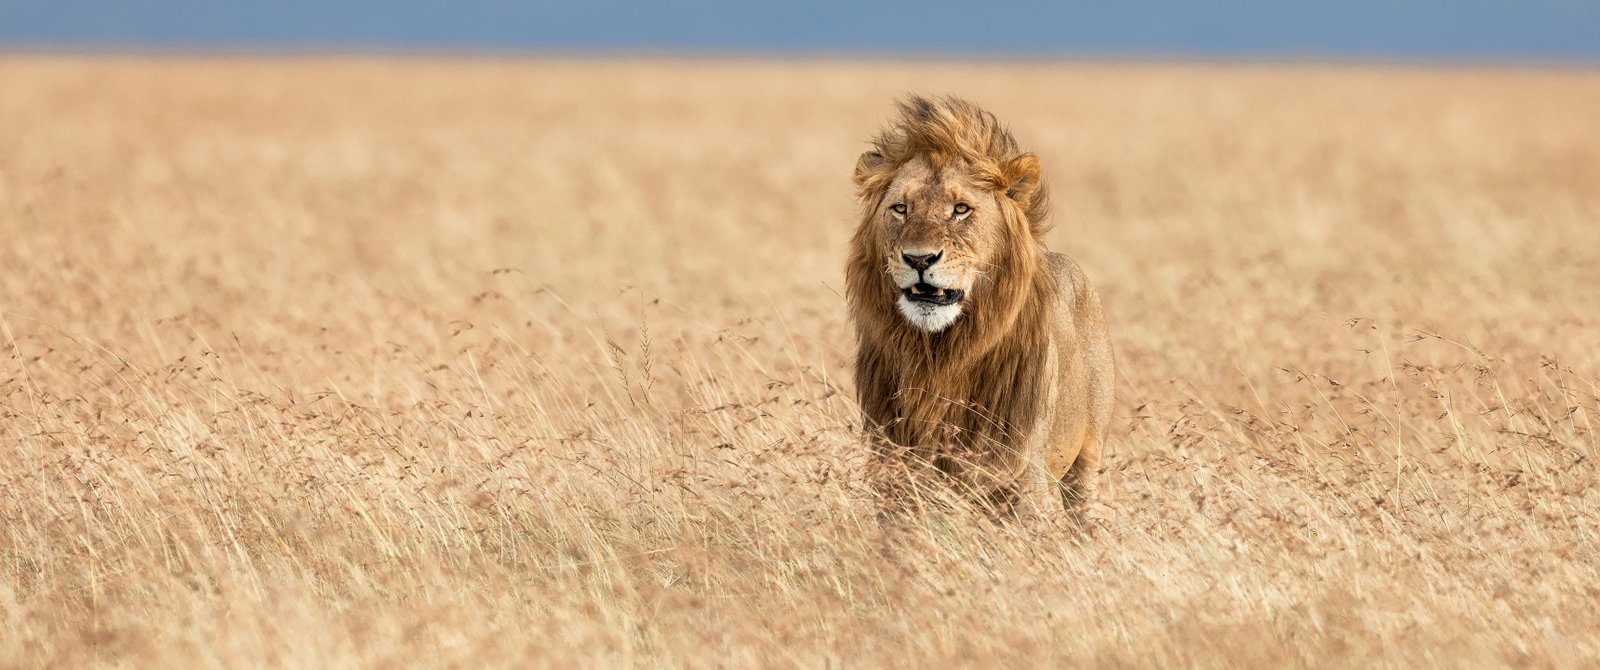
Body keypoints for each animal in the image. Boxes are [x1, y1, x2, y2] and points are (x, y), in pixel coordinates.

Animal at [846, 95, 1115, 518]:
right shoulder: (895, 469)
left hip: (1089, 459)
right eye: (901, 208)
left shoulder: (1021, 473)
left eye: (960, 209)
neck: (939, 355)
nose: (919, 259)